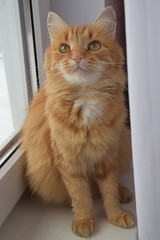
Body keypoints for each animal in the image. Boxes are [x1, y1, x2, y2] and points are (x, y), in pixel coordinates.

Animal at [21, 6, 134, 237]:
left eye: (94, 46)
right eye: (64, 48)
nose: (77, 57)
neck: (86, 98)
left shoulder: (107, 156)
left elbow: (109, 191)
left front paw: (116, 215)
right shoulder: (69, 162)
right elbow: (81, 196)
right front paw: (83, 220)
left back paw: (123, 192)